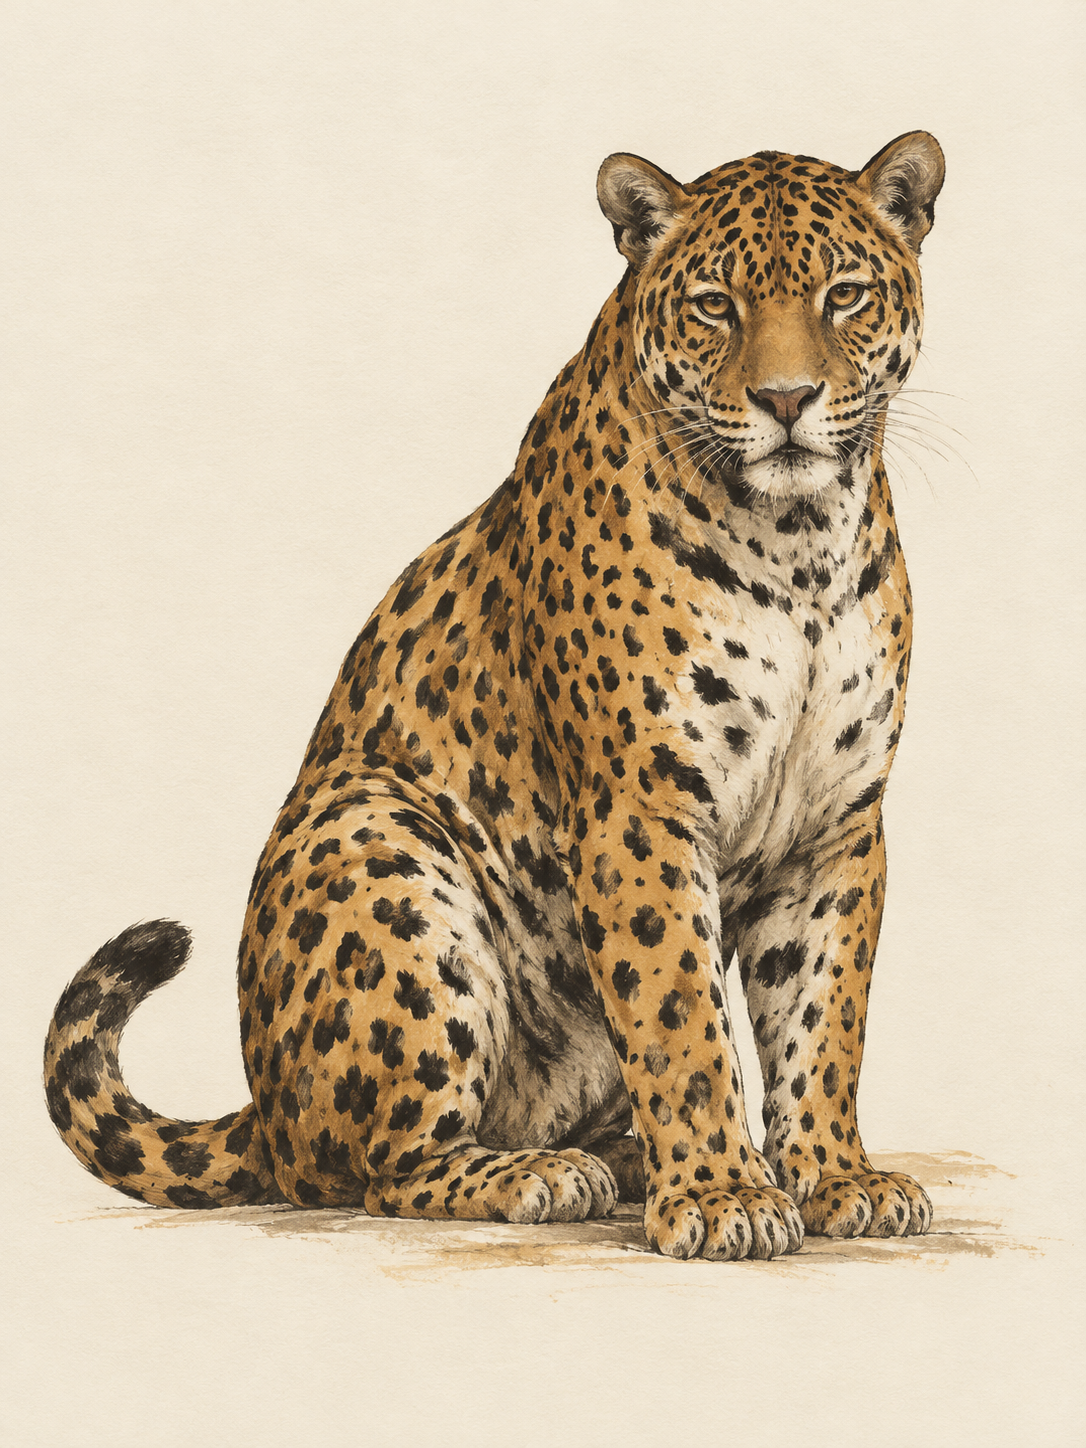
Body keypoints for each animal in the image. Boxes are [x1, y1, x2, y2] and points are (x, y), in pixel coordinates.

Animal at [45, 132, 945, 1261]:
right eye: (713, 305)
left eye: (844, 294)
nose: (788, 399)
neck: (800, 546)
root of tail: (265, 1103)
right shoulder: (639, 808)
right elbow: (682, 1015)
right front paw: (721, 1194)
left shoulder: (837, 824)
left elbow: (823, 1018)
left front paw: (836, 1175)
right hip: (375, 839)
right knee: (377, 1169)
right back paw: (547, 1175)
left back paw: (623, 1160)